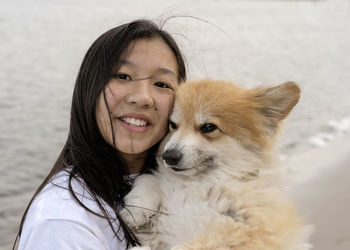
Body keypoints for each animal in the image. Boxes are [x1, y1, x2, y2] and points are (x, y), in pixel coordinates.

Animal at [121, 79, 312, 249]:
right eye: (173, 125)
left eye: (208, 127)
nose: (169, 156)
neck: (201, 183)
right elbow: (150, 179)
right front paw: (136, 211)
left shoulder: (247, 231)